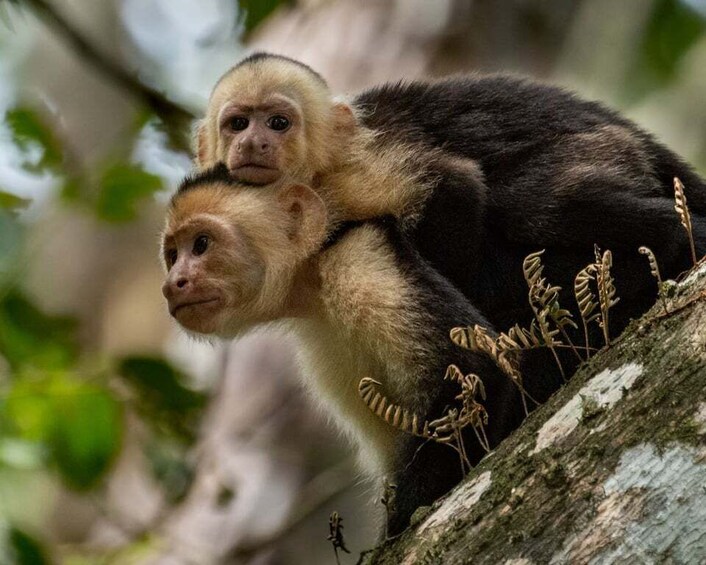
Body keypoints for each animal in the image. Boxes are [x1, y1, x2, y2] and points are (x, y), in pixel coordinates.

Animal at [160, 164, 524, 536]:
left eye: (201, 244)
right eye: (173, 256)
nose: (172, 284)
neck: (311, 278)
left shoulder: (358, 258)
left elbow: (476, 370)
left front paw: (399, 523)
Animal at [195, 51, 704, 400]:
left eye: (278, 123)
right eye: (238, 123)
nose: (254, 143)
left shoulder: (352, 174)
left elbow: (455, 187)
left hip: (606, 150)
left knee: (533, 204)